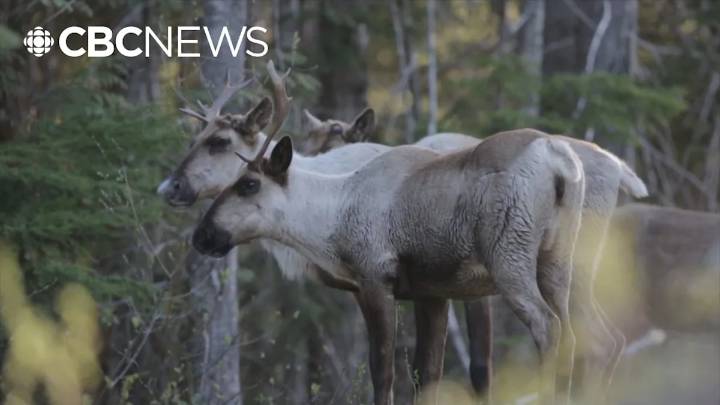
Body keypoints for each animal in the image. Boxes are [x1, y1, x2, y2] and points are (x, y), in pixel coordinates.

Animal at [300, 116, 649, 400]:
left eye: (331, 145)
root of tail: (618, 168)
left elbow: (478, 364)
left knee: (575, 333)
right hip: (569, 268)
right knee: (603, 336)